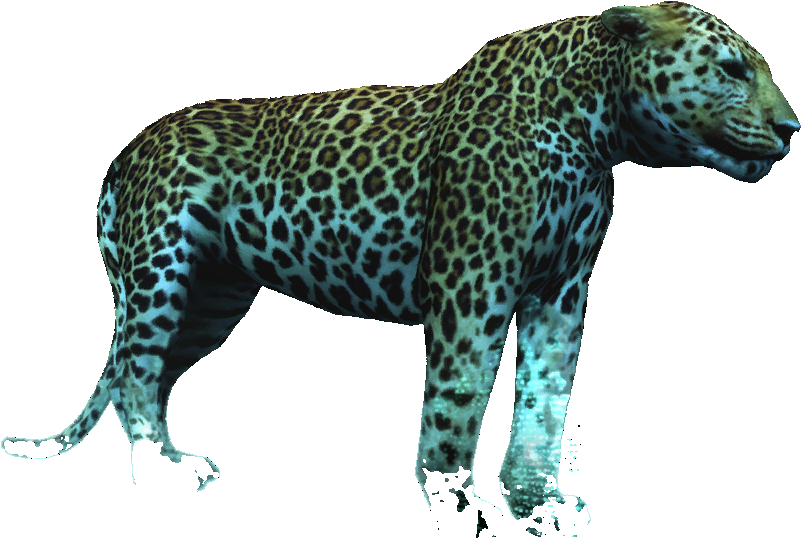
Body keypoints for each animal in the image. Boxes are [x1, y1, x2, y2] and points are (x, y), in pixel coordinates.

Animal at [3, 2, 796, 535]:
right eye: (731, 70)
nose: (792, 129)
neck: (594, 132)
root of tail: (123, 155)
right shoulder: (473, 282)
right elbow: (459, 398)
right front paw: (456, 502)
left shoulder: (560, 295)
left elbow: (544, 403)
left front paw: (536, 502)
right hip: (162, 266)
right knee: (137, 370)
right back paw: (161, 467)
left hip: (213, 298)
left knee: (156, 372)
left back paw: (176, 458)